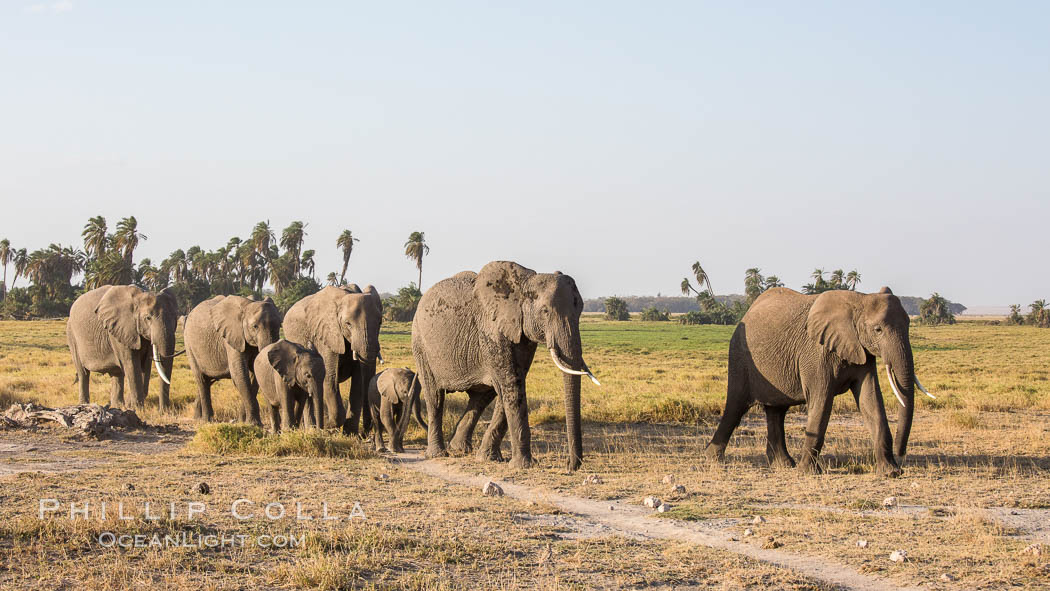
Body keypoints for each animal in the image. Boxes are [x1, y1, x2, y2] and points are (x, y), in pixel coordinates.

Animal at [184, 295, 281, 426]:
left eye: (279, 326)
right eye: (255, 326)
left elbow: (253, 375)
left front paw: (243, 421)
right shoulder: (233, 338)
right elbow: (239, 374)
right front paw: (254, 424)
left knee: (206, 381)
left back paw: (198, 418)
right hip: (189, 345)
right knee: (201, 379)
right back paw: (206, 420)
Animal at [283, 284, 383, 433]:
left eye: (380, 322)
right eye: (348, 324)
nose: (365, 432)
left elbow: (358, 383)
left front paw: (349, 434)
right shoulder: (326, 336)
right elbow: (329, 378)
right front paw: (329, 425)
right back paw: (313, 429)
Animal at [411, 261, 600, 471]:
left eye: (581, 310)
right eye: (545, 311)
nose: (570, 465)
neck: (524, 283)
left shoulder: (522, 334)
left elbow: (510, 386)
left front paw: (489, 459)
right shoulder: (491, 331)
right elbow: (512, 385)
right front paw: (524, 465)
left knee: (481, 397)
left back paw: (459, 449)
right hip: (420, 345)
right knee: (435, 396)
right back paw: (438, 453)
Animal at [705, 287, 935, 478]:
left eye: (908, 324)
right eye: (878, 329)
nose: (901, 455)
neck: (858, 300)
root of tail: (747, 314)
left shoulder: (861, 350)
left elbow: (871, 401)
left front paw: (890, 473)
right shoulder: (816, 354)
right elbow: (822, 401)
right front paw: (808, 473)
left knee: (776, 411)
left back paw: (784, 465)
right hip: (740, 356)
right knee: (735, 406)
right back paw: (714, 460)